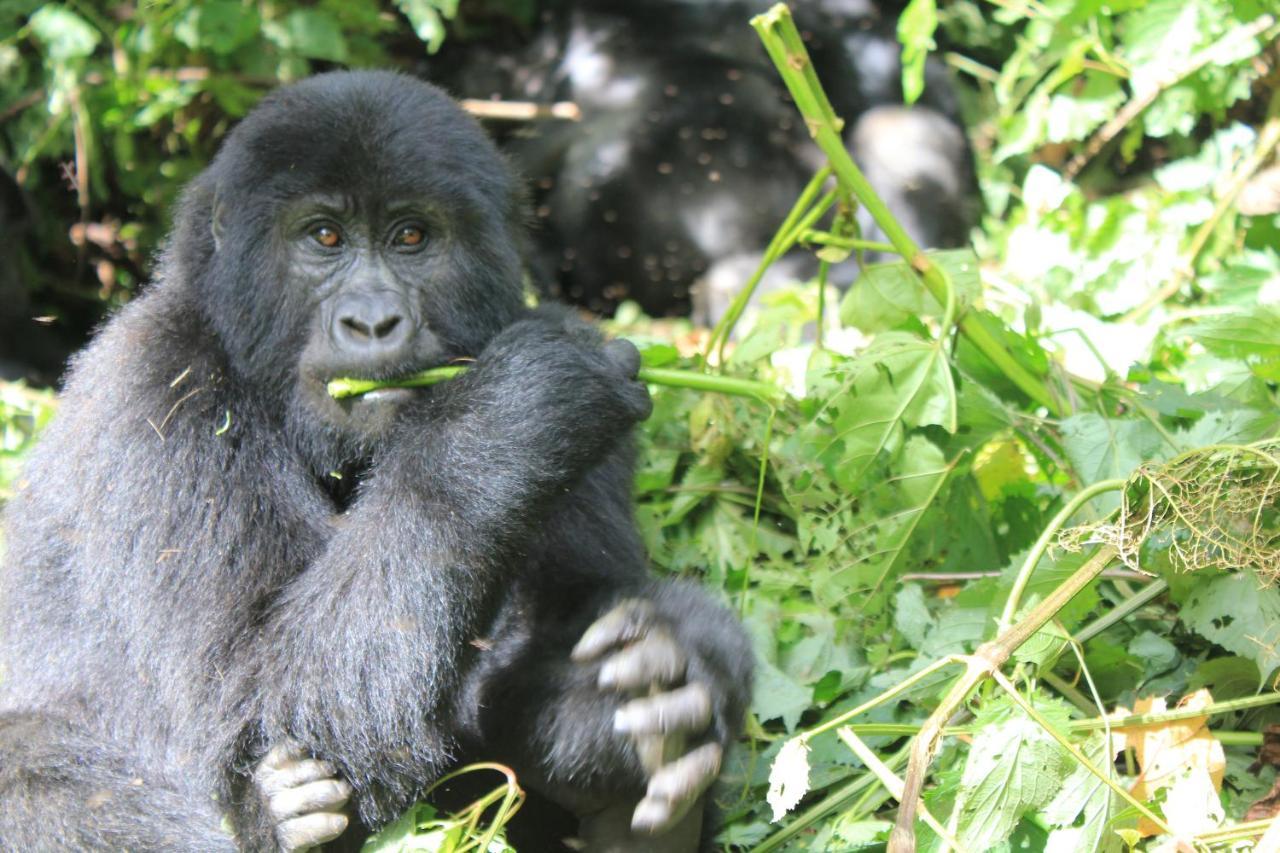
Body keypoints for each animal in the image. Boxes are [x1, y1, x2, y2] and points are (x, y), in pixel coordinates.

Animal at [0, 71, 747, 850]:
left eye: (411, 236)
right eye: (324, 236)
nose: (372, 320)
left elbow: (578, 610)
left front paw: (653, 680)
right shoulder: (155, 388)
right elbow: (259, 701)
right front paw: (515, 407)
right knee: (32, 764)